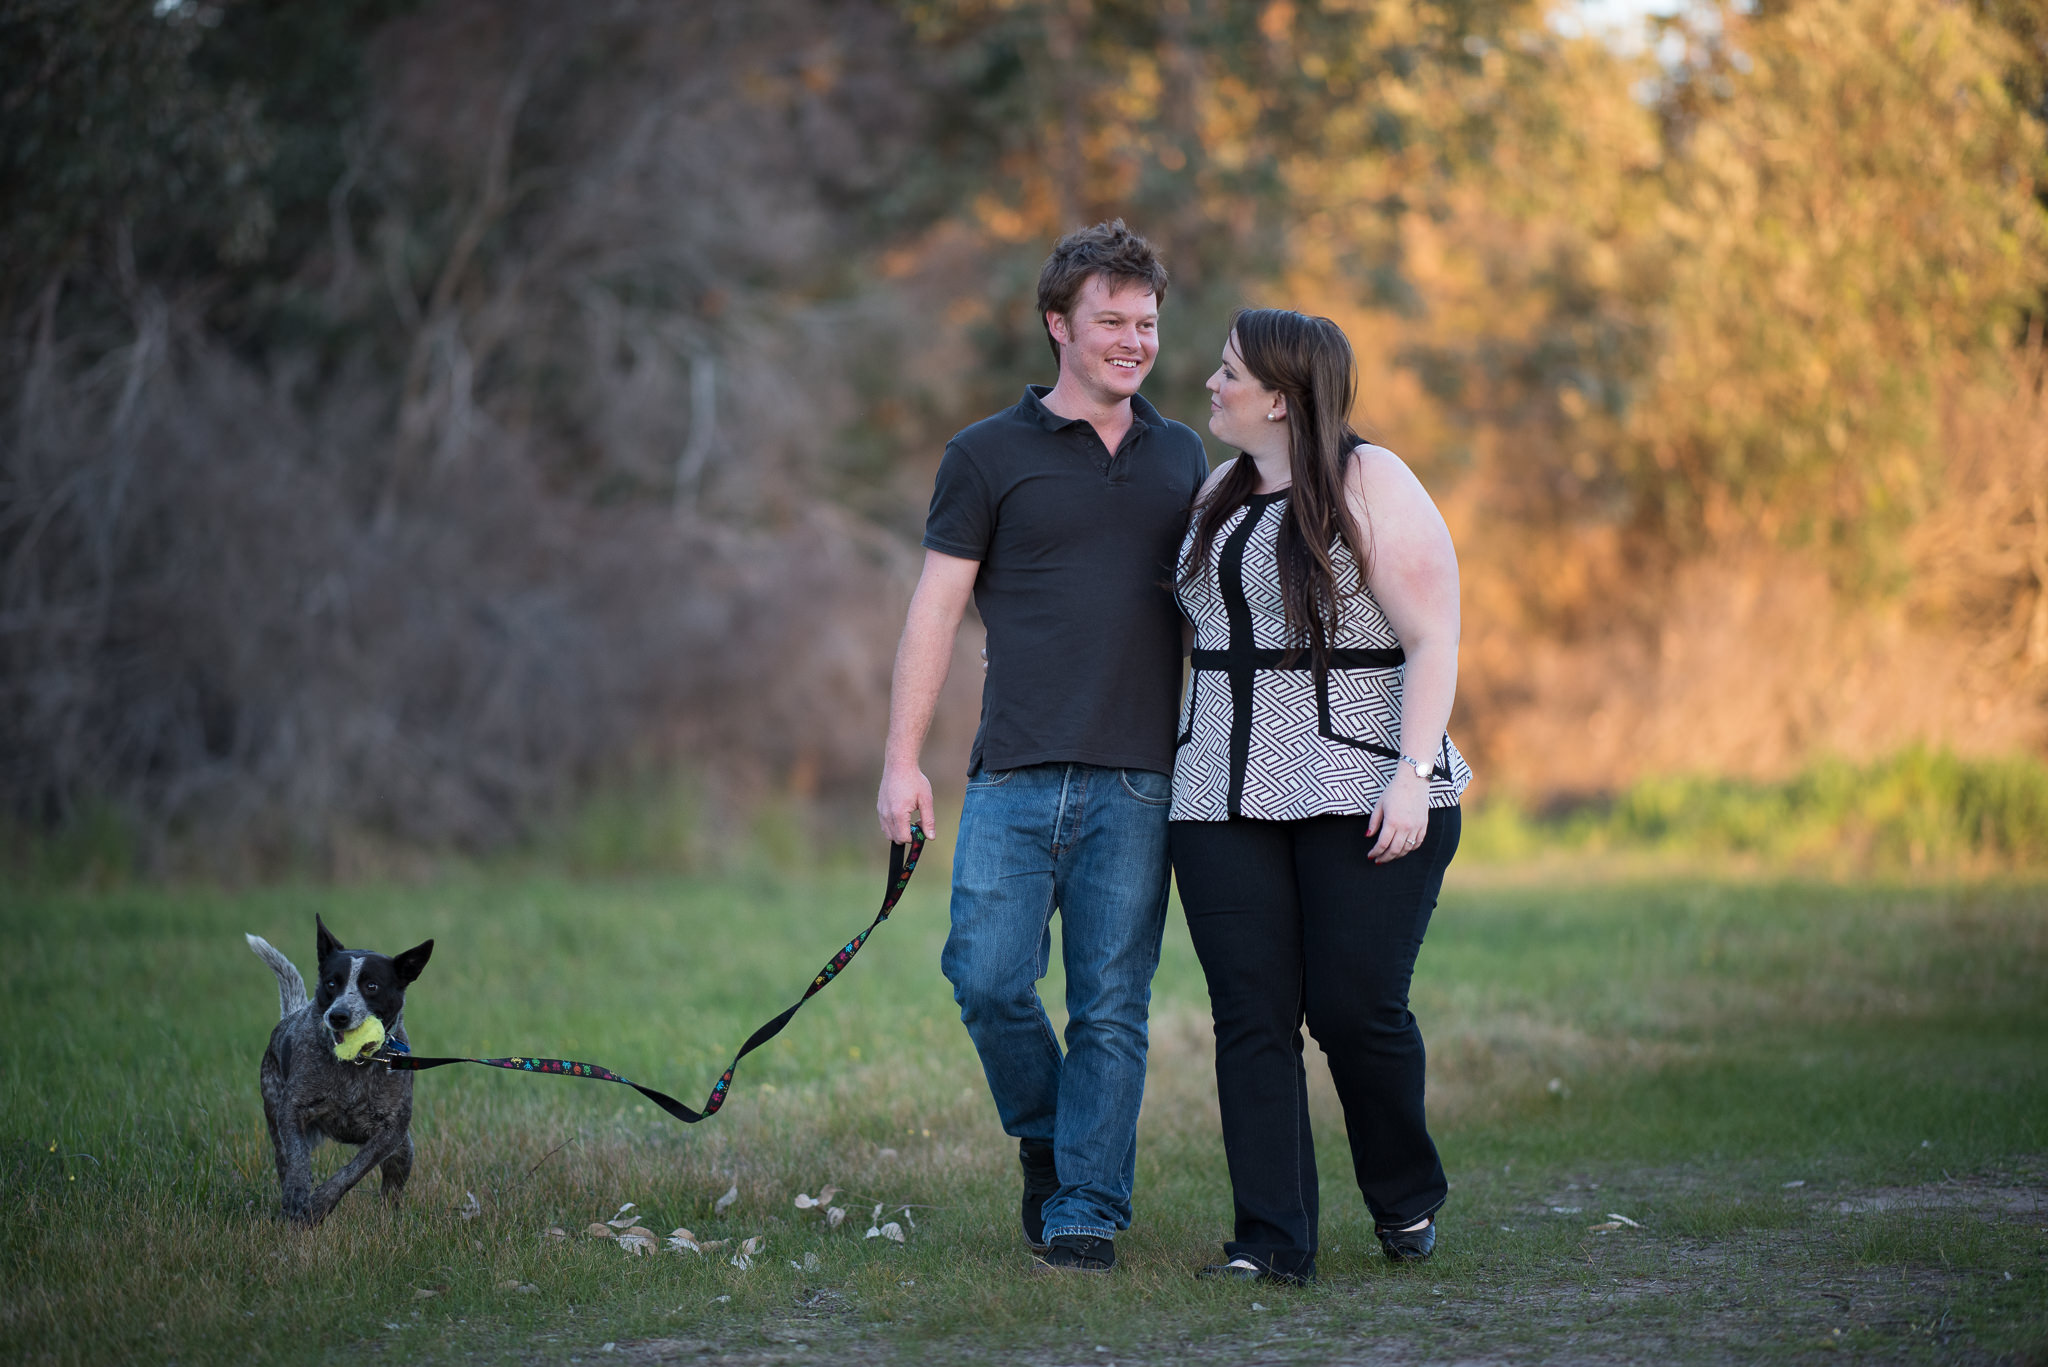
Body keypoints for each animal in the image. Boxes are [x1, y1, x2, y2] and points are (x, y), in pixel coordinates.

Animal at [249, 918, 438, 1229]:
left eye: (372, 986)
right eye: (331, 983)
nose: (338, 1015)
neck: (356, 1064)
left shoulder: (391, 1132)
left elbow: (352, 1171)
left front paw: (319, 1204)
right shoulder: (291, 1110)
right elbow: (298, 1159)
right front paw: (299, 1196)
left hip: (404, 1152)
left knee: (391, 1193)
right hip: (274, 1117)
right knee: (284, 1158)